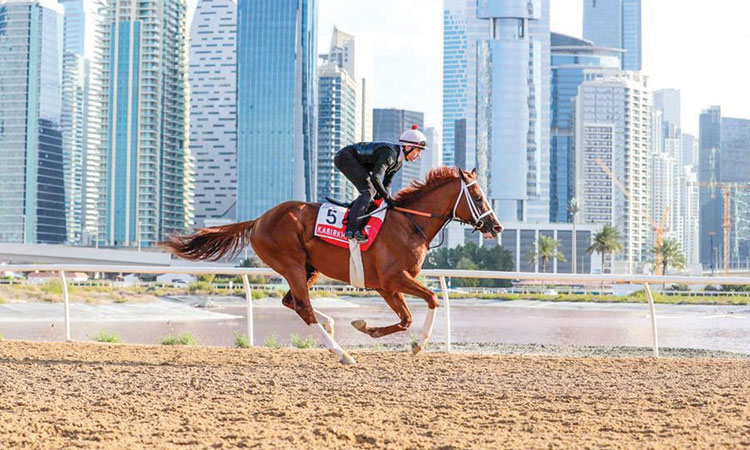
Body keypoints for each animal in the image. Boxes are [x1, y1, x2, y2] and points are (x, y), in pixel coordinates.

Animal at [164, 167, 506, 364]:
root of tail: (259, 219)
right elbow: (432, 299)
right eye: (478, 196)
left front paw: (365, 326)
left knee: (293, 303)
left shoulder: (385, 285)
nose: (496, 226)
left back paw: (331, 327)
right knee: (303, 307)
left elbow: (405, 318)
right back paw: (341, 353)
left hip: (309, 268)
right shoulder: (393, 278)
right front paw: (417, 345)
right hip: (291, 264)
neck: (410, 223)